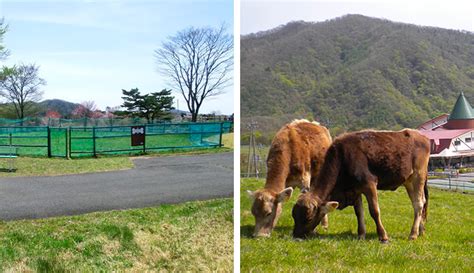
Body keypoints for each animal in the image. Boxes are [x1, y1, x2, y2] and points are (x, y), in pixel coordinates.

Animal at [290, 129, 432, 241]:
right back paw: (421, 230)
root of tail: (422, 136)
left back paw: (413, 234)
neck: (343, 156)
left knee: (419, 204)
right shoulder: (356, 189)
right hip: (409, 182)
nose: (296, 235)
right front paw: (361, 235)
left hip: (418, 176)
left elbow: (374, 211)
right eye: (294, 216)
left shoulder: (369, 184)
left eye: (308, 218)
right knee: (420, 203)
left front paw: (383, 236)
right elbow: (359, 212)